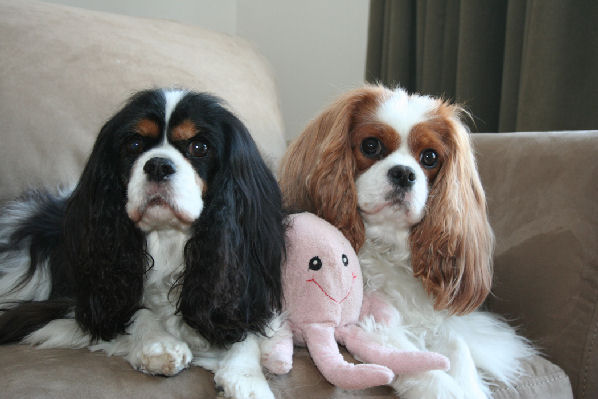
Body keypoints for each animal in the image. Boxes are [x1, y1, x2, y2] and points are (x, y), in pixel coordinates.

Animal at [0, 90, 288, 399]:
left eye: (199, 147)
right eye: (134, 144)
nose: (158, 165)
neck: (168, 240)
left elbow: (245, 327)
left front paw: (247, 379)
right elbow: (132, 311)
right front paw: (159, 345)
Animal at [278, 86, 536, 398]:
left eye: (429, 157)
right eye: (371, 146)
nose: (403, 172)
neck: (387, 246)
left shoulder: (432, 321)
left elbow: (458, 346)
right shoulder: (376, 323)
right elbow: (432, 373)